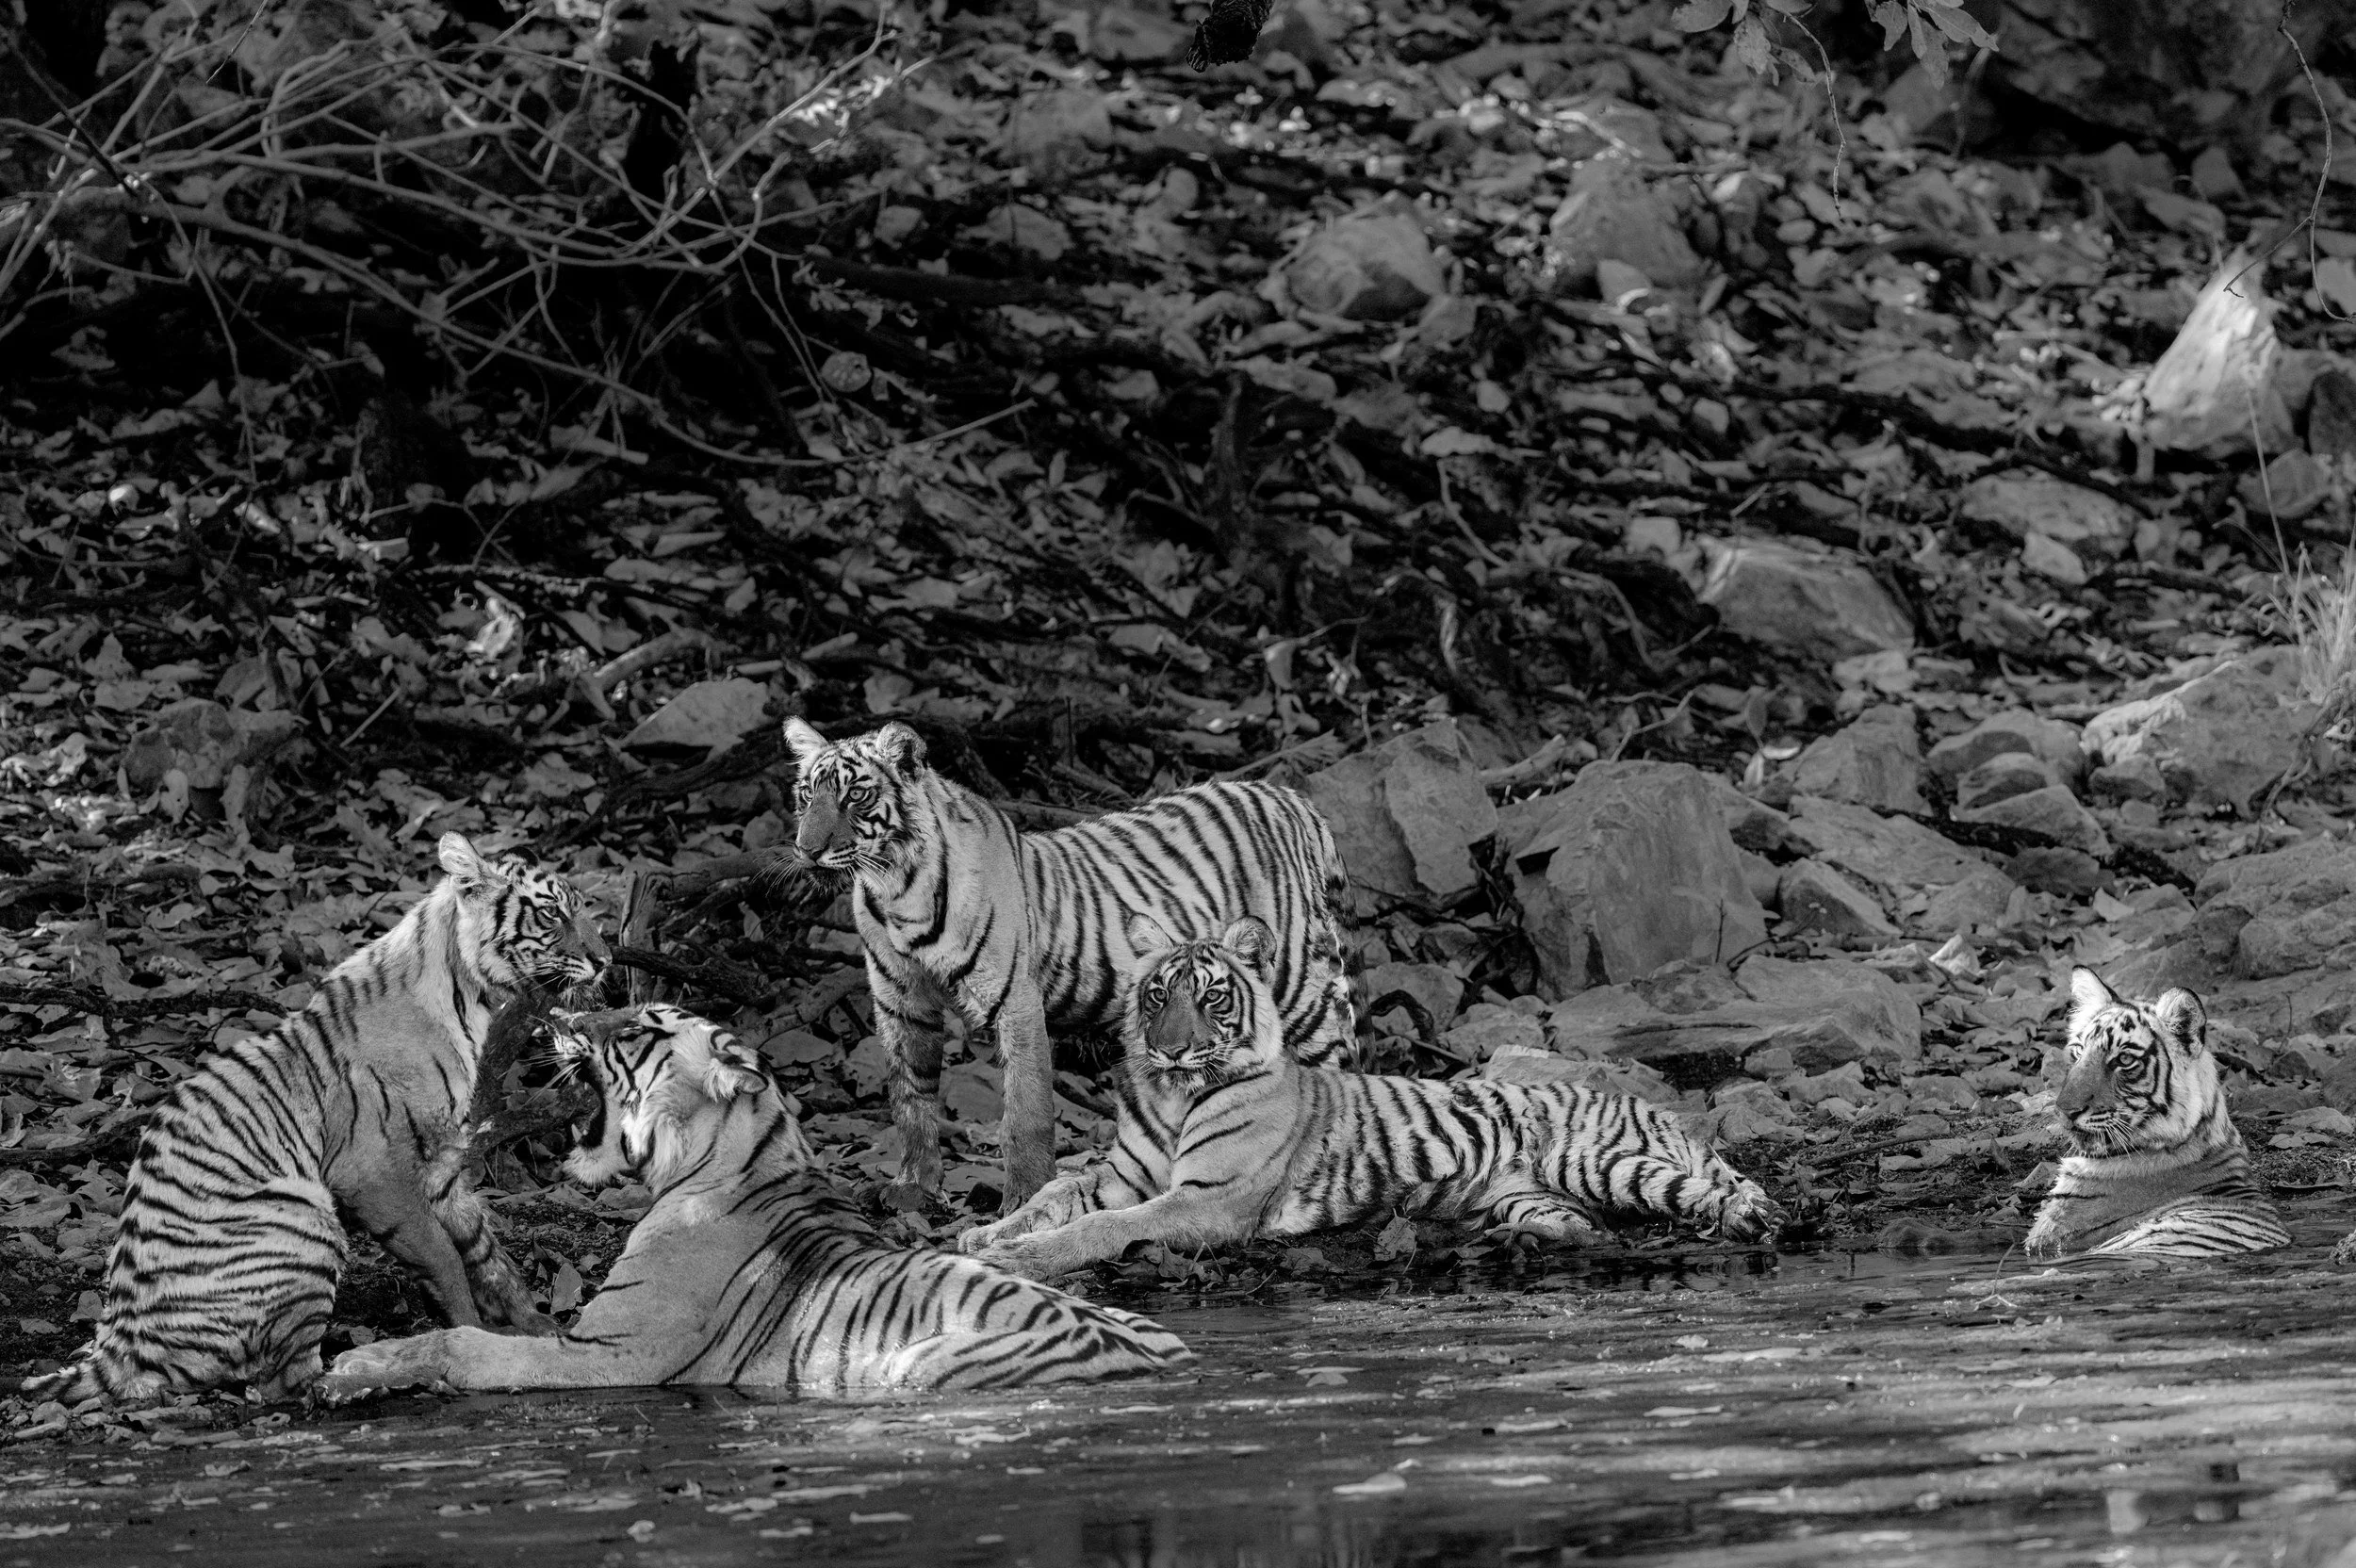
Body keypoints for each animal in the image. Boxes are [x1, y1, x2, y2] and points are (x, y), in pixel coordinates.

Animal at [25, 834, 607, 1405]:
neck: (471, 999)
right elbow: (443, 1256)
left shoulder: (441, 1163)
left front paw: (532, 1325)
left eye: (581, 909)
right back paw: (368, 1377)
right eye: (552, 914)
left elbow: (487, 1252)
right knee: (286, 1383)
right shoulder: (371, 1173)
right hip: (304, 1221)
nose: (605, 960)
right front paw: (467, 1334)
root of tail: (118, 1346)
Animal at [317, 1004, 1193, 1398]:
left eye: (632, 1027)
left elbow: (464, 1344)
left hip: (909, 1360)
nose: (558, 1015)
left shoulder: (613, 1353)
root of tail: (1157, 1360)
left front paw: (351, 1365)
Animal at [781, 716, 1355, 1207]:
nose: (807, 849)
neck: (897, 889)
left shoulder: (1014, 1000)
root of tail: (1285, 795)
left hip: (1300, 987)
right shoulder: (900, 1000)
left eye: (856, 795)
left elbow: (1025, 1111)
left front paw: (1023, 1197)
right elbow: (910, 1094)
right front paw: (912, 1188)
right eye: (809, 793)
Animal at [958, 914, 1783, 1279]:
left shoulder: (1207, 1199)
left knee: (1709, 1193)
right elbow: (1057, 1193)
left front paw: (1024, 1256)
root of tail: (1650, 1103)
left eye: (1212, 997)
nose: (1168, 1048)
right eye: (1158, 993)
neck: (1171, 1094)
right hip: (1530, 1194)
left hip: (1600, 1160)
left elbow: (1104, 1226)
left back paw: (1750, 1219)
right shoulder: (1123, 1171)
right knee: (1588, 1228)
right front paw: (987, 1234)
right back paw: (1512, 1244)